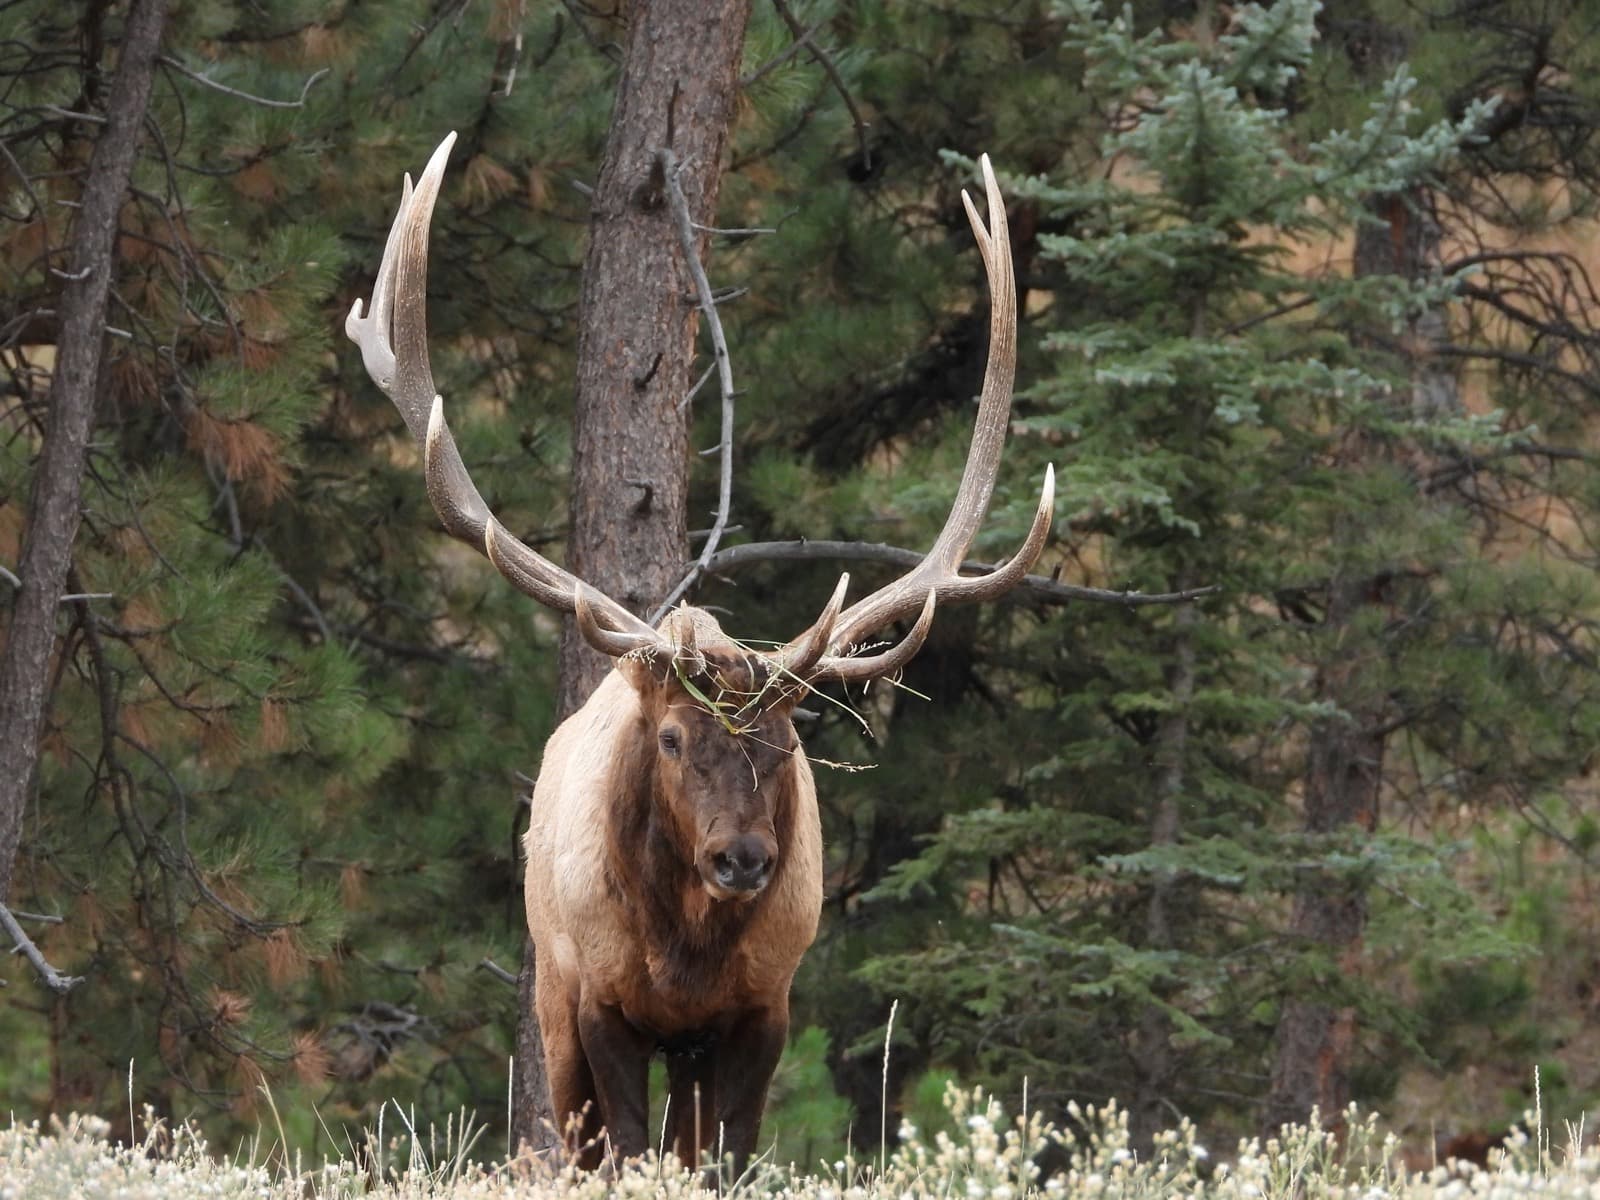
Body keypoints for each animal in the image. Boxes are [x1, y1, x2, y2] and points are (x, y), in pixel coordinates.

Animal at [346, 132, 1052, 1174]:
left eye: (789, 744)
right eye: (674, 739)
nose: (743, 857)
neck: (684, 956)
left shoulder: (763, 1005)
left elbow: (729, 1153)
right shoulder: (601, 1001)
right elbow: (628, 1150)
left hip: (687, 1043)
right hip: (551, 995)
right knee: (576, 1138)